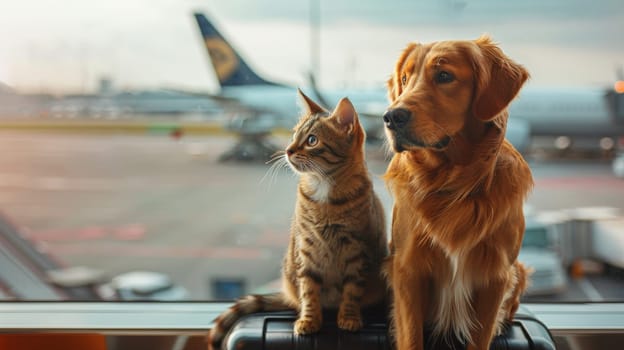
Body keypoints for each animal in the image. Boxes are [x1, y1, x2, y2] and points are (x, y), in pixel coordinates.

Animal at [207, 91, 388, 350]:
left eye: (312, 140)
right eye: (294, 135)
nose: (288, 150)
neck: (324, 190)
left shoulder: (358, 251)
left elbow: (352, 291)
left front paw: (349, 317)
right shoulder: (307, 249)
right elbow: (309, 291)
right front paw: (309, 320)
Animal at [382, 36, 532, 350]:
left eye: (444, 76)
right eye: (405, 79)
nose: (390, 117)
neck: (452, 183)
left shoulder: (494, 275)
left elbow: (481, 337)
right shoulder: (408, 269)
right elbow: (411, 336)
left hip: (519, 271)